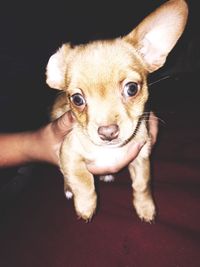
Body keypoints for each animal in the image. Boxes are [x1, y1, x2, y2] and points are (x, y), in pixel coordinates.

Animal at [45, 0, 188, 222]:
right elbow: (82, 180)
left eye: (132, 89)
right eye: (77, 99)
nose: (108, 132)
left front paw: (145, 208)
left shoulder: (142, 157)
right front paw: (86, 207)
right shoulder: (68, 153)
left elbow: (142, 185)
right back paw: (69, 189)